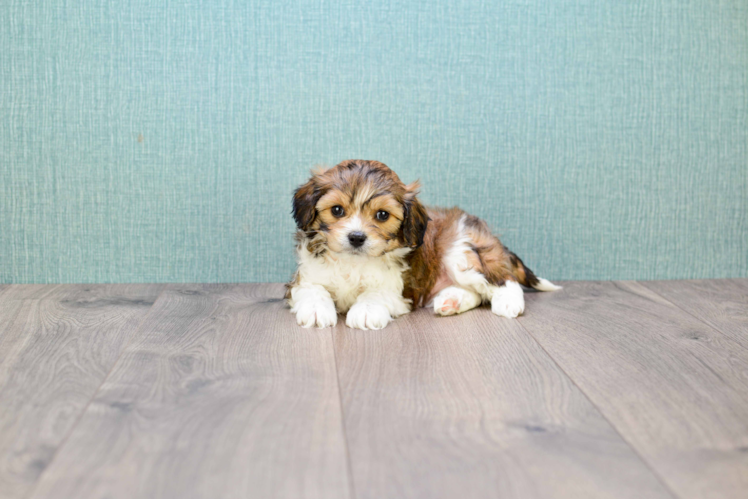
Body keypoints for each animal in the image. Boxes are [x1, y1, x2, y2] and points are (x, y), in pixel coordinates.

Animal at [286, 160, 560, 330]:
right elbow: (313, 289)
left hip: (460, 252)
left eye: (382, 215)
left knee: (504, 280)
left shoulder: (399, 290)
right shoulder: (304, 279)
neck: (354, 261)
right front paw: (316, 310)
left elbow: (375, 293)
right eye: (337, 210)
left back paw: (508, 303)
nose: (356, 237)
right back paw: (451, 301)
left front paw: (365, 310)